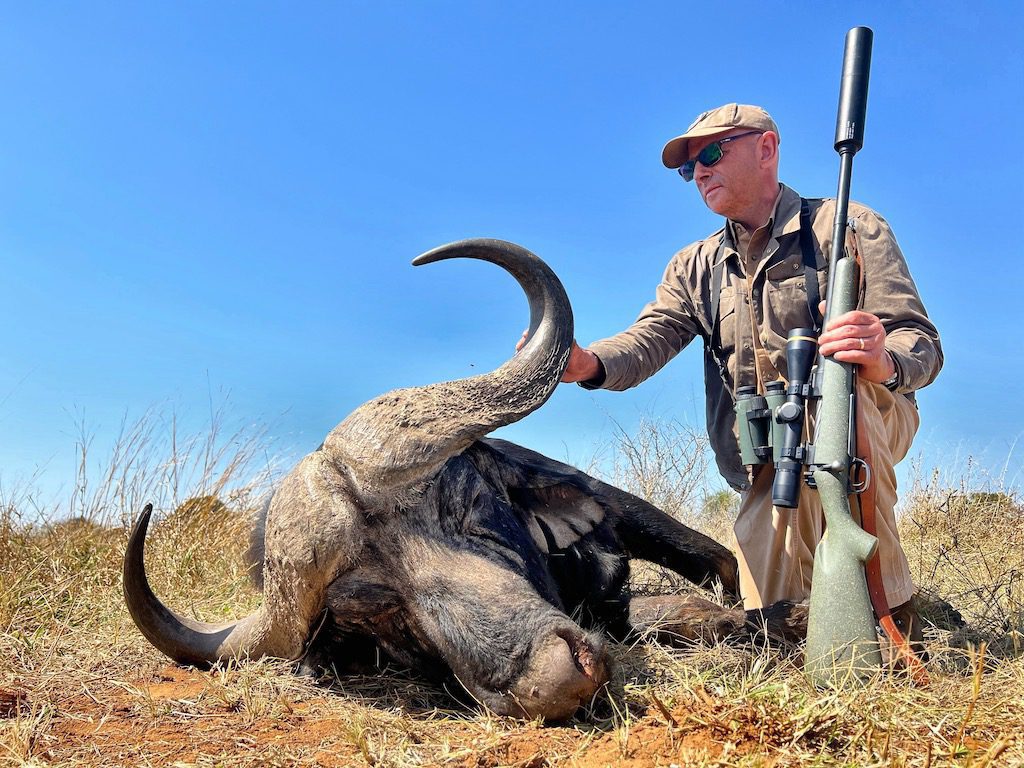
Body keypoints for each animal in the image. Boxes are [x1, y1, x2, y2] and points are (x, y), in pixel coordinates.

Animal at [123, 240, 798, 720]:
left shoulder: (611, 509)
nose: (556, 680)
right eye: (379, 609)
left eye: (469, 510)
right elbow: (672, 613)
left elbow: (709, 575)